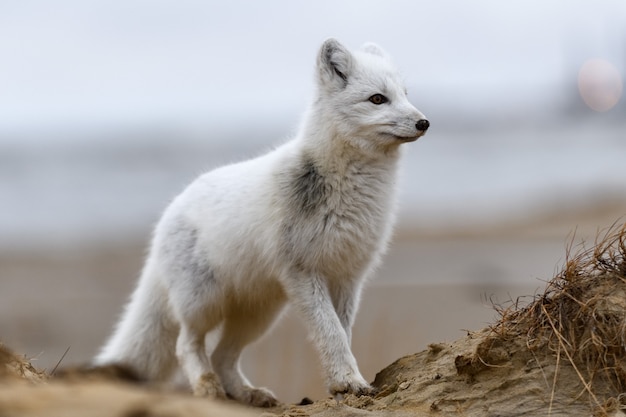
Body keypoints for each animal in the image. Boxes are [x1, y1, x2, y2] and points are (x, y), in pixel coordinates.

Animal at [94, 37, 428, 404]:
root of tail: (169, 212)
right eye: (378, 99)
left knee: (222, 355)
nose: (424, 122)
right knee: (187, 345)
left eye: (406, 94)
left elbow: (342, 332)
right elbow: (331, 333)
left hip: (258, 314)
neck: (354, 191)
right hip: (205, 304)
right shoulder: (303, 272)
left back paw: (248, 393)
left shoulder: (348, 276)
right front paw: (348, 381)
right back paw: (207, 387)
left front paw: (343, 384)